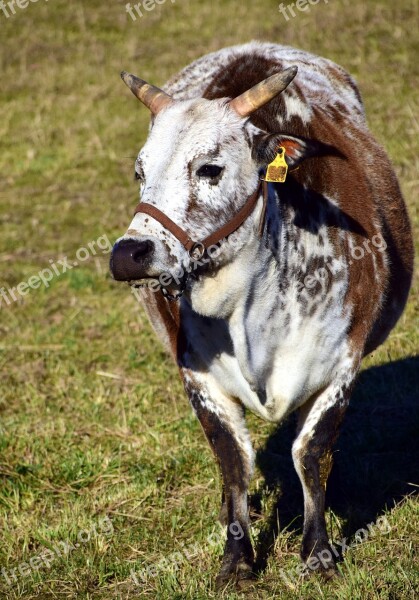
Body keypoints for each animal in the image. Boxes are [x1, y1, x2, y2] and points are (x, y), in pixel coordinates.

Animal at [110, 43, 416, 592]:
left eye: (209, 169)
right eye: (141, 173)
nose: (128, 254)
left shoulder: (341, 365)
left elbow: (310, 453)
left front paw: (318, 554)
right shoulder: (198, 376)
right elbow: (233, 460)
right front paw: (236, 560)